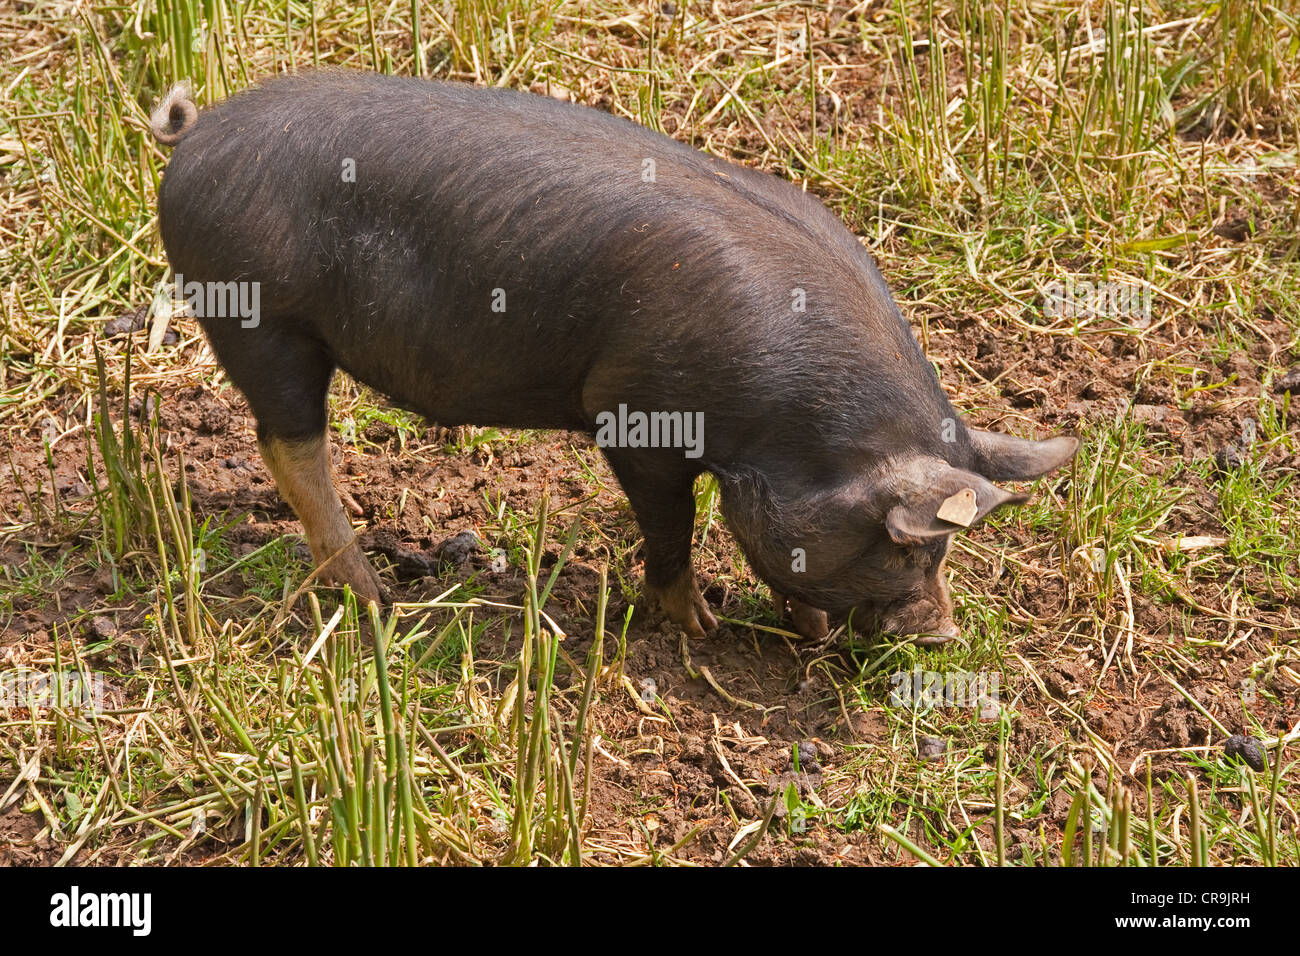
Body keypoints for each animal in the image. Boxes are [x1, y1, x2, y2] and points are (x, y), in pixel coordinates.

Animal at [149, 70, 1076, 647]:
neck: (783, 427)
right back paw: (375, 599)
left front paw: (799, 628)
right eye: (908, 546)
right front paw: (698, 628)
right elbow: (673, 526)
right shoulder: (635, 418)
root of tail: (194, 140)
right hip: (263, 321)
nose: (944, 631)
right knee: (289, 443)